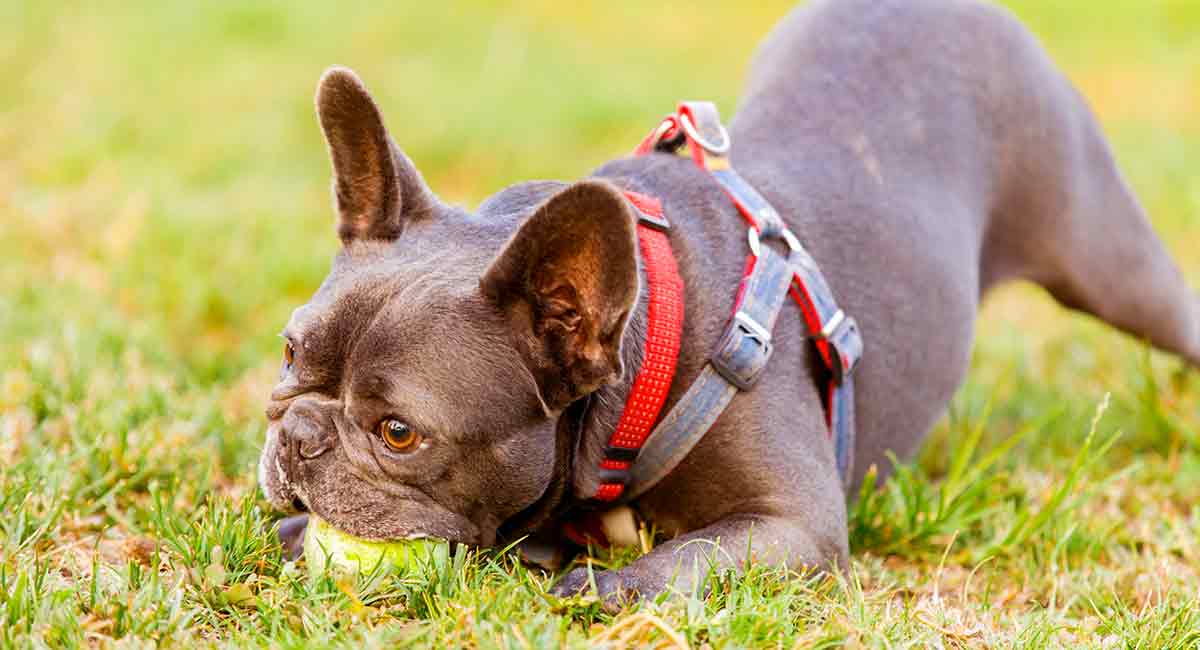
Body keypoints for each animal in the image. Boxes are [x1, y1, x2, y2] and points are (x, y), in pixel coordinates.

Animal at [260, 0, 1200, 604]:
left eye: (399, 433)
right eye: (289, 355)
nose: (298, 435)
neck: (645, 358)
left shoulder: (793, 528)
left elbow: (681, 561)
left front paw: (599, 587)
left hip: (1107, 256)